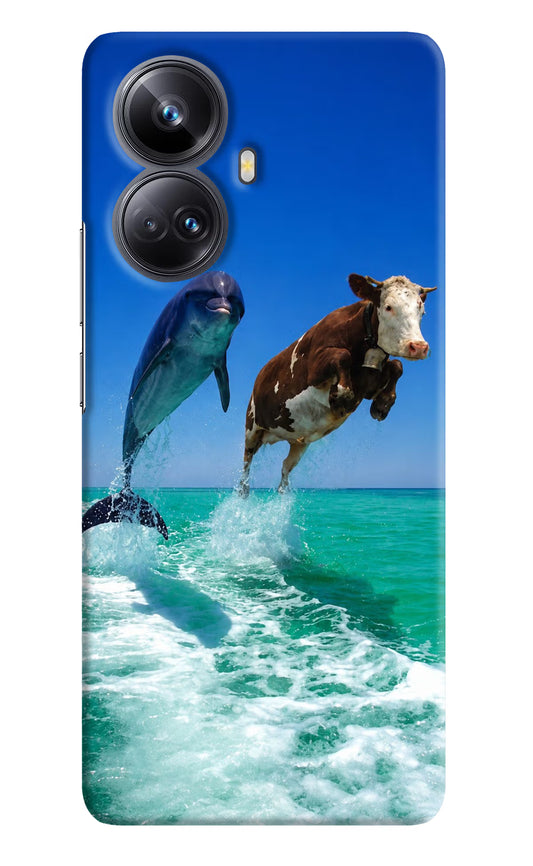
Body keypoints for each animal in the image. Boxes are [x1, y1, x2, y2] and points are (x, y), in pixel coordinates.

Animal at [239, 273, 437, 495]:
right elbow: (343, 355)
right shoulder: (314, 369)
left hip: (299, 441)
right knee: (246, 462)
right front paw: (341, 396)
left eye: (422, 310)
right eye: (388, 307)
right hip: (252, 426)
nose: (418, 347)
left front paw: (383, 404)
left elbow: (397, 365)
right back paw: (243, 491)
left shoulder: (369, 384)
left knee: (285, 467)